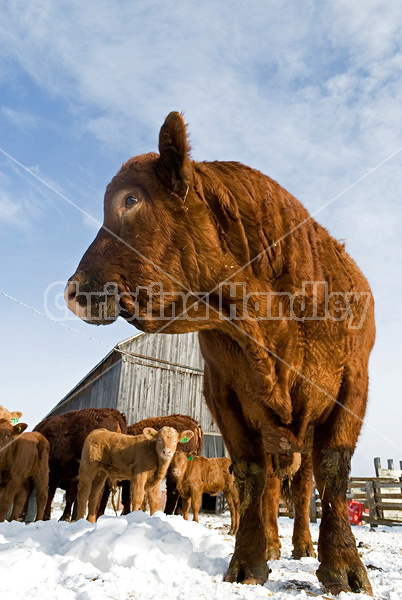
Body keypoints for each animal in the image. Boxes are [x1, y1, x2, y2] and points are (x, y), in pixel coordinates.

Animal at [64, 112, 376, 596]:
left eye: (130, 199)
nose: (72, 291)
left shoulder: (351, 388)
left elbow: (334, 473)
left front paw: (343, 566)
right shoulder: (224, 395)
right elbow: (249, 474)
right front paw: (248, 561)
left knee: (302, 488)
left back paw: (302, 545)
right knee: (271, 486)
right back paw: (272, 544)